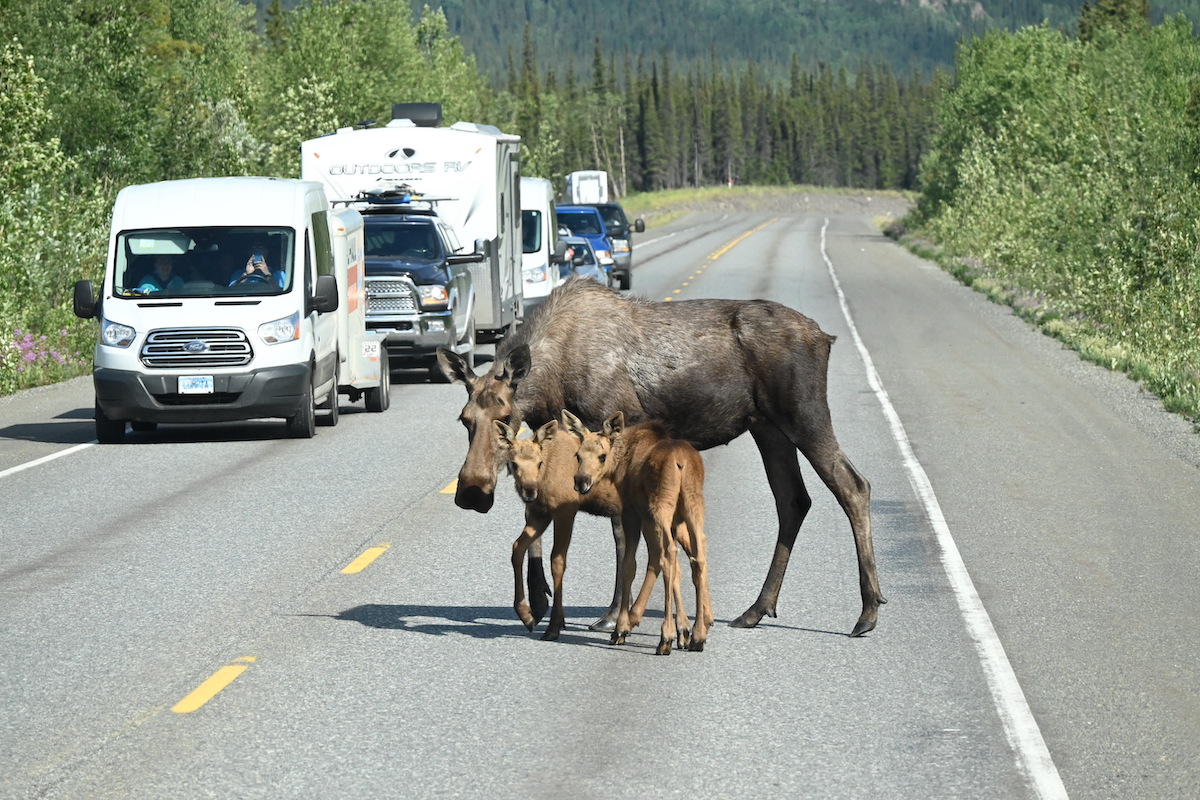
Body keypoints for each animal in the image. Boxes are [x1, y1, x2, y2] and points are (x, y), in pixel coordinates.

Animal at [439, 275, 883, 638]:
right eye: (464, 419)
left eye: (505, 416)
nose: (472, 491)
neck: (551, 383)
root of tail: (825, 337)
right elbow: (537, 514)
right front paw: (539, 601)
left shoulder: (611, 432)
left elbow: (621, 537)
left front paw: (611, 615)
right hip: (767, 427)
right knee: (793, 500)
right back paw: (757, 609)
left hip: (802, 413)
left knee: (853, 485)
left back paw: (867, 611)